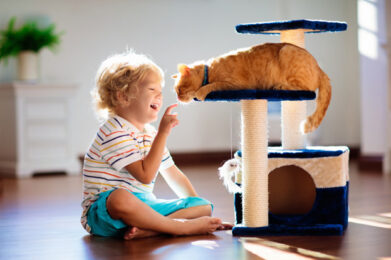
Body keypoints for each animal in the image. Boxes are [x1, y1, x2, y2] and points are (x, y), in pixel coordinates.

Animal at [174, 42, 330, 134]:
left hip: (287, 52)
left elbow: (212, 85)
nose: (178, 98)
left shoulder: (235, 84)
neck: (210, 70)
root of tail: (319, 67)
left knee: (305, 89)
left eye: (180, 89)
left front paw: (201, 92)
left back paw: (279, 86)